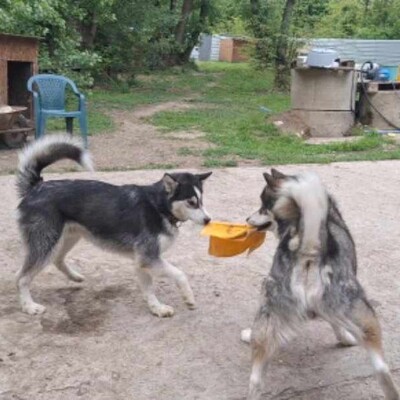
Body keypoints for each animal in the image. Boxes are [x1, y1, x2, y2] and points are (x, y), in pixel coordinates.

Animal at [16, 136, 212, 318]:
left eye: (201, 200)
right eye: (191, 202)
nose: (208, 220)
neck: (158, 206)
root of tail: (37, 186)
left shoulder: (141, 260)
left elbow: (149, 289)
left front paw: (156, 308)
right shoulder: (148, 258)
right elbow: (180, 274)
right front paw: (188, 299)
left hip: (67, 238)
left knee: (56, 259)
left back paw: (74, 276)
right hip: (46, 244)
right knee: (22, 277)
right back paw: (29, 306)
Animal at [242, 168, 398, 400]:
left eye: (263, 206)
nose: (247, 219)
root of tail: (309, 251)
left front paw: (345, 339)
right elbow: (336, 324)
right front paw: (346, 338)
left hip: (270, 305)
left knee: (255, 376)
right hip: (365, 312)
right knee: (381, 367)